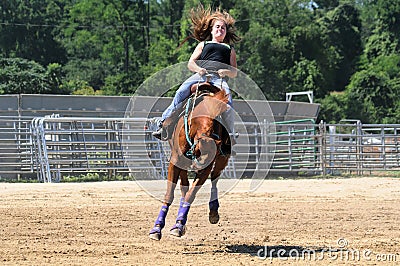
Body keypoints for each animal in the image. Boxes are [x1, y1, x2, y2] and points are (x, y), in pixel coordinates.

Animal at [149, 82, 233, 240]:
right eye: (198, 151)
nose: (196, 167)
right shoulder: (176, 160)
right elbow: (170, 194)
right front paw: (157, 229)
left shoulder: (208, 167)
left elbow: (191, 195)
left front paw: (179, 225)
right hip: (182, 162)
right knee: (184, 185)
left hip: (221, 161)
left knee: (214, 180)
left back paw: (213, 212)